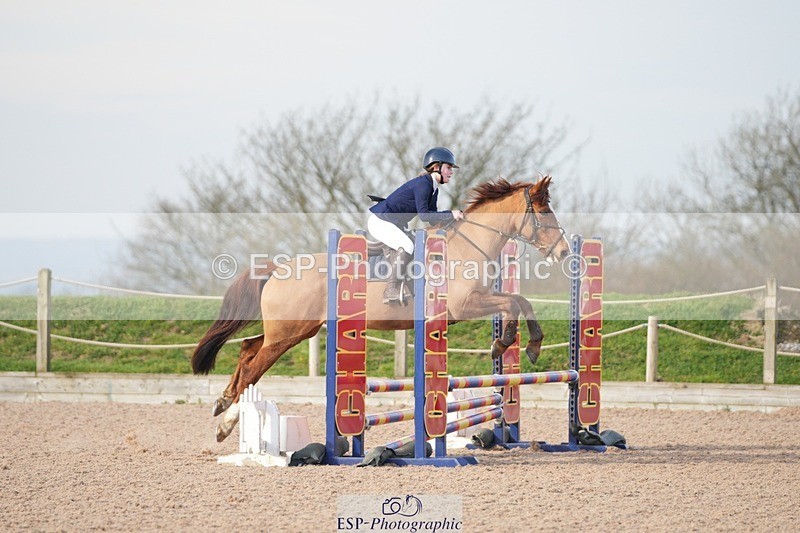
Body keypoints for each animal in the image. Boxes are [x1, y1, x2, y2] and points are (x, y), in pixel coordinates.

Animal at [192, 176, 570, 442]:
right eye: (544, 212)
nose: (564, 252)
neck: (466, 246)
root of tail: (278, 269)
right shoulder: (465, 305)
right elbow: (512, 303)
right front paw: (504, 343)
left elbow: (520, 302)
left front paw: (530, 345)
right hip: (289, 331)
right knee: (255, 366)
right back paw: (227, 422)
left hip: (294, 330)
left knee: (247, 349)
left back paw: (223, 402)